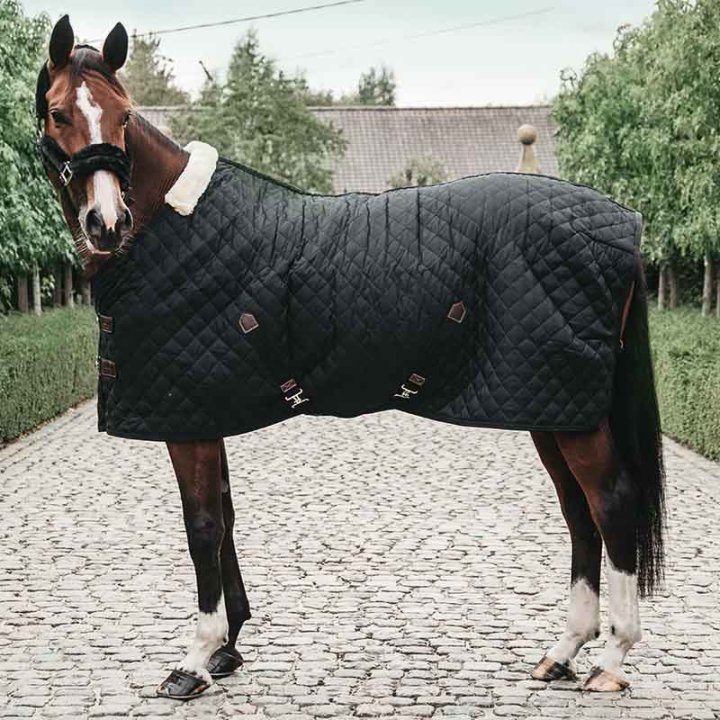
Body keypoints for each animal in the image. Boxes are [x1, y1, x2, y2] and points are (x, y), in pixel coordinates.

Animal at [35, 15, 666, 700]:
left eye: (123, 115)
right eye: (60, 112)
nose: (106, 222)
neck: (171, 224)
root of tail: (621, 225)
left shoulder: (188, 421)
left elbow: (202, 527)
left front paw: (195, 661)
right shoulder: (207, 414)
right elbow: (225, 518)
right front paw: (229, 648)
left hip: (569, 412)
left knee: (611, 504)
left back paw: (612, 659)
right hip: (550, 407)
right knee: (579, 513)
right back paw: (564, 650)